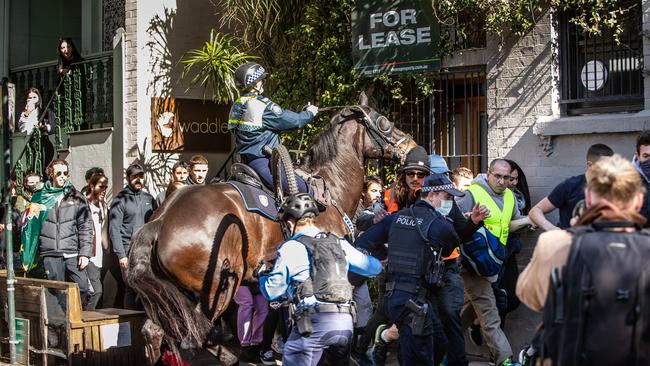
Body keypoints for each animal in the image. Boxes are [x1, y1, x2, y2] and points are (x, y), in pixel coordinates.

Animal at [126, 103, 416, 364]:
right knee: (196, 333)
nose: (412, 147)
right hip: (218, 287)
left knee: (155, 332)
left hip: (173, 294)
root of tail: (161, 219)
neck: (329, 189)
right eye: (384, 122)